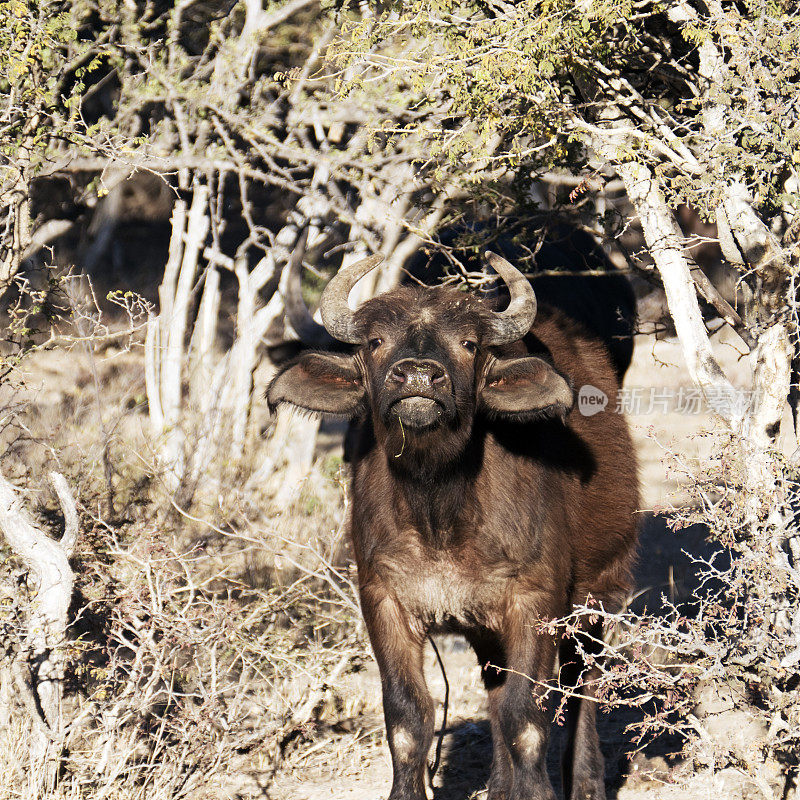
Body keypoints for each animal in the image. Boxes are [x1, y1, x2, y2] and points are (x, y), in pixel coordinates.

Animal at [268, 252, 636, 800]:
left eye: (468, 344)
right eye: (375, 342)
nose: (419, 378)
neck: (438, 512)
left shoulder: (536, 601)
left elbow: (528, 716)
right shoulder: (384, 599)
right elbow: (408, 718)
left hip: (601, 590)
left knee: (582, 681)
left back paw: (587, 781)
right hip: (487, 627)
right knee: (495, 685)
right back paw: (500, 786)